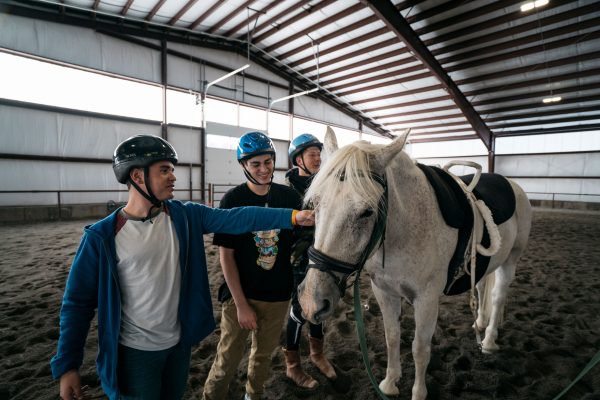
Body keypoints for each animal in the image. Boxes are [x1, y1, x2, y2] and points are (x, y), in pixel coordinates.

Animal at [298, 130, 532, 398]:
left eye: (367, 212)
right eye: (315, 204)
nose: (310, 302)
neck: (403, 231)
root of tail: (512, 185)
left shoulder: (426, 300)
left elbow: (420, 349)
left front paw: (418, 393)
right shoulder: (384, 292)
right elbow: (391, 337)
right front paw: (389, 383)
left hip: (511, 260)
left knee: (498, 296)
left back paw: (489, 340)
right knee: (483, 287)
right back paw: (480, 323)